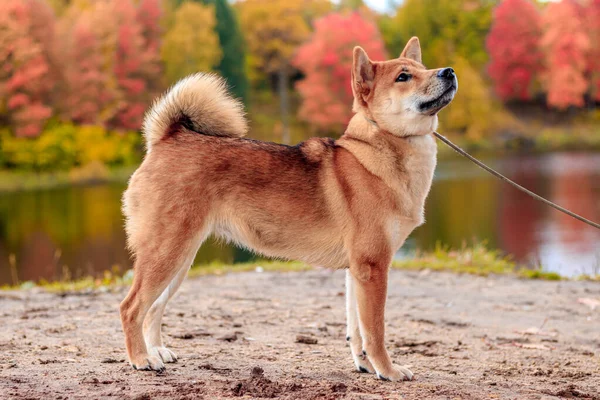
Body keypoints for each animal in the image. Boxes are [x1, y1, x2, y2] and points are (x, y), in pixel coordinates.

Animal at [119, 36, 458, 382]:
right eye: (403, 76)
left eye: (422, 67)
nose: (448, 71)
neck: (377, 153)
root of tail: (168, 138)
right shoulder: (373, 267)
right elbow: (375, 331)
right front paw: (387, 370)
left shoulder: (357, 271)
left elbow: (357, 330)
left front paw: (365, 365)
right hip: (166, 254)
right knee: (131, 308)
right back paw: (141, 359)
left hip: (179, 260)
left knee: (153, 309)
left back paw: (156, 350)